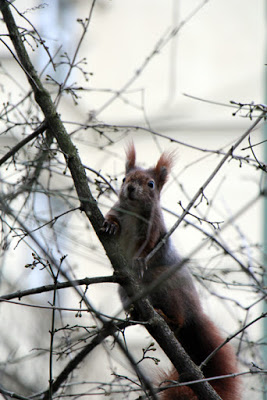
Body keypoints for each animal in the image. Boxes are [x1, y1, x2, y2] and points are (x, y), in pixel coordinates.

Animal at [102, 144, 241, 400]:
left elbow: (149, 247)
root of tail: (194, 310)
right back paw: (136, 313)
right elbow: (112, 218)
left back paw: (167, 317)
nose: (130, 188)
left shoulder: (154, 229)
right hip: (124, 292)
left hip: (167, 288)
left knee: (179, 321)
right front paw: (108, 225)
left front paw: (139, 261)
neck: (134, 210)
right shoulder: (118, 211)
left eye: (151, 184)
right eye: (125, 178)